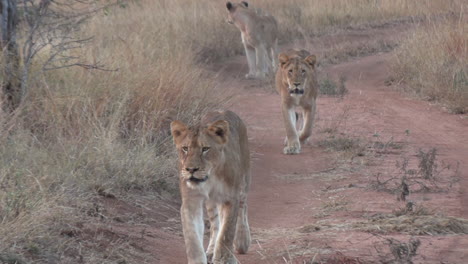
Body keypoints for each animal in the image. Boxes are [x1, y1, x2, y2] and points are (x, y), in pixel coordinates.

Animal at [171, 110, 252, 264]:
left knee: (243, 207)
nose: (191, 169)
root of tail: (225, 110)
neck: (211, 177)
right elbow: (192, 237)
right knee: (215, 224)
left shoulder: (230, 198)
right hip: (211, 202)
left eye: (205, 149)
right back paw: (211, 250)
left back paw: (242, 240)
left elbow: (227, 232)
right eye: (185, 148)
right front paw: (198, 259)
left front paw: (223, 259)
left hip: (244, 179)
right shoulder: (191, 201)